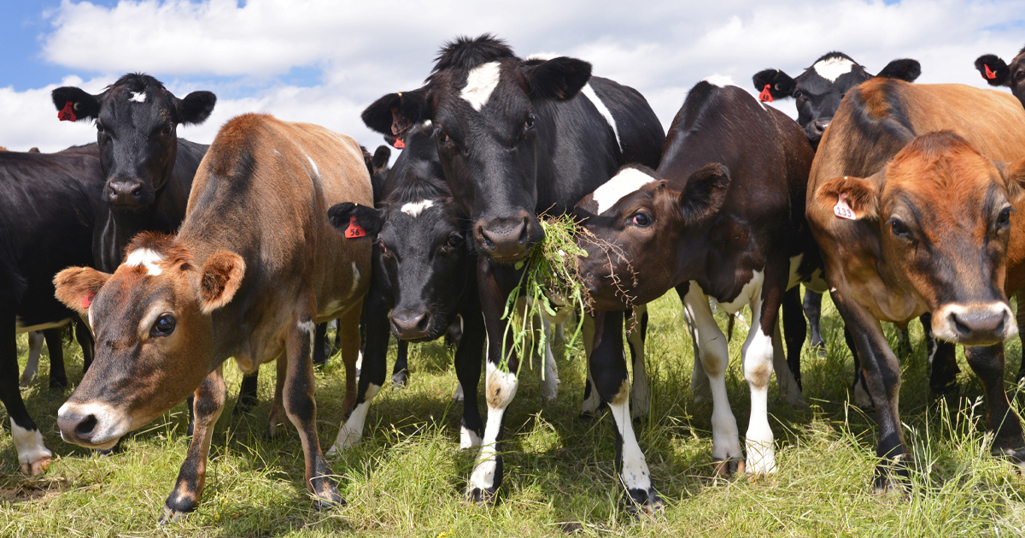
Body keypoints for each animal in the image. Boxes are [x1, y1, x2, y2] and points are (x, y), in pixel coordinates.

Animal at [52, 113, 372, 521]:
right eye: (93, 320)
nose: (72, 421)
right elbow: (207, 402)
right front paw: (184, 493)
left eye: (164, 323)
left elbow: (301, 397)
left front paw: (324, 487)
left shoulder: (300, 313)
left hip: (354, 302)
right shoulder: (210, 337)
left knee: (347, 354)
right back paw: (275, 423)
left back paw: (346, 413)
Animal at [361, 34, 665, 508]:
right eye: (445, 134)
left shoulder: (609, 267)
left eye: (528, 120)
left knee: (635, 334)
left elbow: (612, 369)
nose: (506, 232)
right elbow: (497, 380)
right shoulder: (489, 274)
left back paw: (640, 401)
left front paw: (636, 476)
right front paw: (484, 475)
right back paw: (588, 403)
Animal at [574, 78, 816, 476]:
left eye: (641, 217)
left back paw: (792, 392)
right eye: (580, 217)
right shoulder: (687, 279)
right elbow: (712, 352)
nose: (565, 267)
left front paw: (761, 452)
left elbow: (758, 359)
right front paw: (727, 446)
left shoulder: (775, 269)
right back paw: (702, 391)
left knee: (785, 332)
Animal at [807, 78, 1025, 491]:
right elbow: (880, 372)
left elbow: (987, 358)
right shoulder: (844, 291)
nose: (979, 321)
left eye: (1004, 214)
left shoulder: (993, 292)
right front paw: (892, 463)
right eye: (898, 225)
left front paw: (1008, 439)